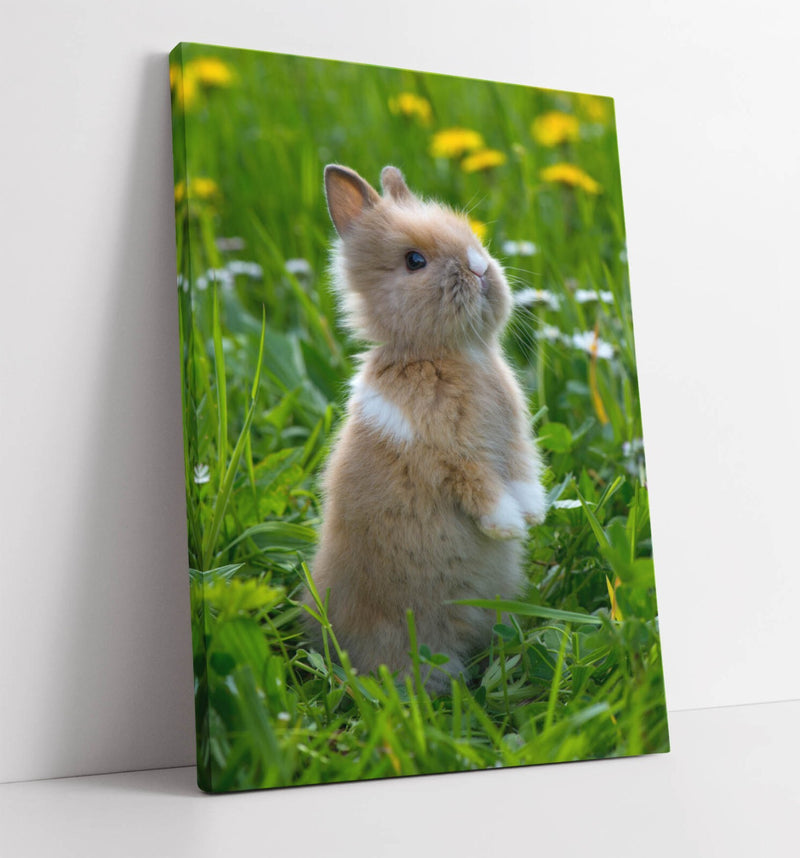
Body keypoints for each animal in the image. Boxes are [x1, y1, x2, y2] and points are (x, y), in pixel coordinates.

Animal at [305, 164, 545, 694]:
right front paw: (508, 526)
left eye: (473, 237)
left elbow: (521, 471)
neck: (448, 353)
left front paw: (536, 515)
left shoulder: (514, 440)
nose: (479, 267)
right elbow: (481, 485)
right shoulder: (447, 452)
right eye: (414, 261)